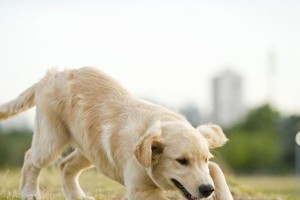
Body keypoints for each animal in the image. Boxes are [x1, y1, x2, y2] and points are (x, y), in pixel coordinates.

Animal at [0, 67, 232, 200]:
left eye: (205, 159)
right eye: (181, 161)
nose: (206, 190)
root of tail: (51, 75)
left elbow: (216, 170)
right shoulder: (142, 190)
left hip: (91, 150)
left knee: (65, 165)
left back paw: (78, 196)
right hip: (51, 139)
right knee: (31, 159)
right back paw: (30, 193)